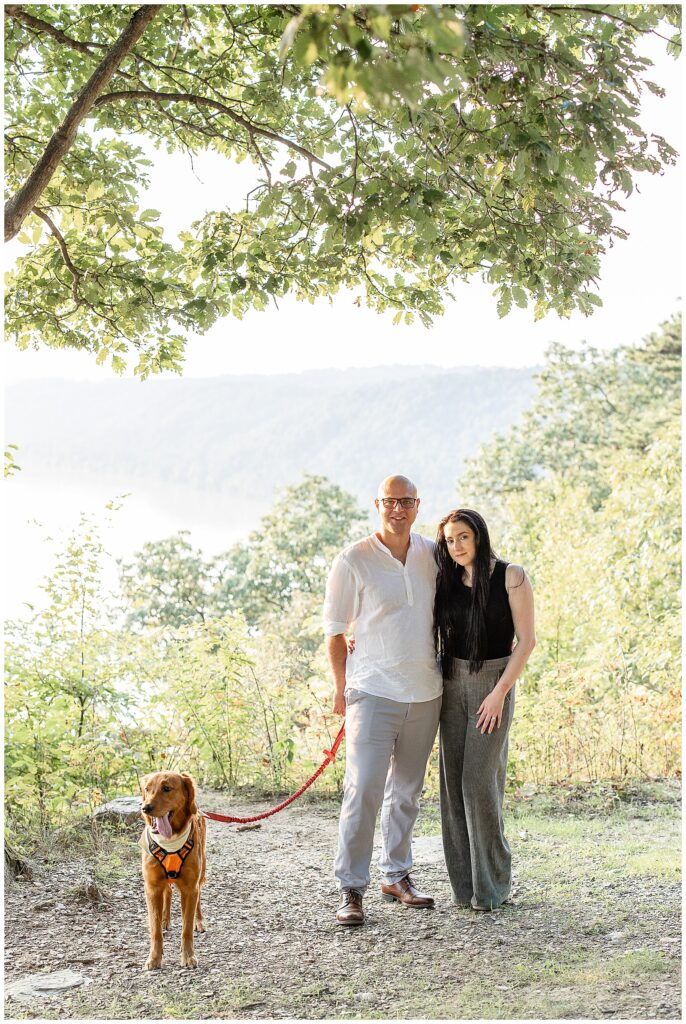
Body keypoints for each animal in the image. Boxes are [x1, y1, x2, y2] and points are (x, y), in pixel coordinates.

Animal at [138, 774, 205, 966]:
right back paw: (165, 920)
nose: (145, 808)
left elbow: (186, 928)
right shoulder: (152, 888)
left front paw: (188, 956)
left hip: (202, 871)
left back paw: (199, 921)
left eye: (167, 788)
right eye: (147, 789)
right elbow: (155, 929)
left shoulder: (190, 888)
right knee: (167, 892)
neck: (170, 841)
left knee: (198, 898)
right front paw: (154, 957)